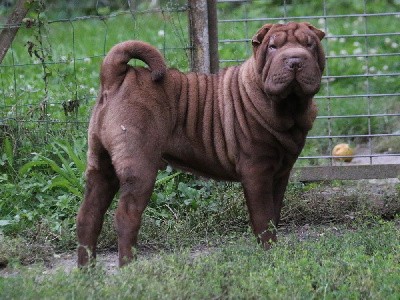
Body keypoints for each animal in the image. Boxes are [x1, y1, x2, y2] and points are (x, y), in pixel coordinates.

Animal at [77, 22, 324, 268]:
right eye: (273, 47)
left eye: (310, 45)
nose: (295, 60)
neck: (289, 108)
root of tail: (117, 76)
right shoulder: (257, 171)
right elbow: (264, 218)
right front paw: (269, 253)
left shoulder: (280, 173)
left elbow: (274, 212)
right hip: (140, 169)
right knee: (126, 217)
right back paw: (129, 267)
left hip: (102, 166)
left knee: (88, 216)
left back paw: (86, 270)